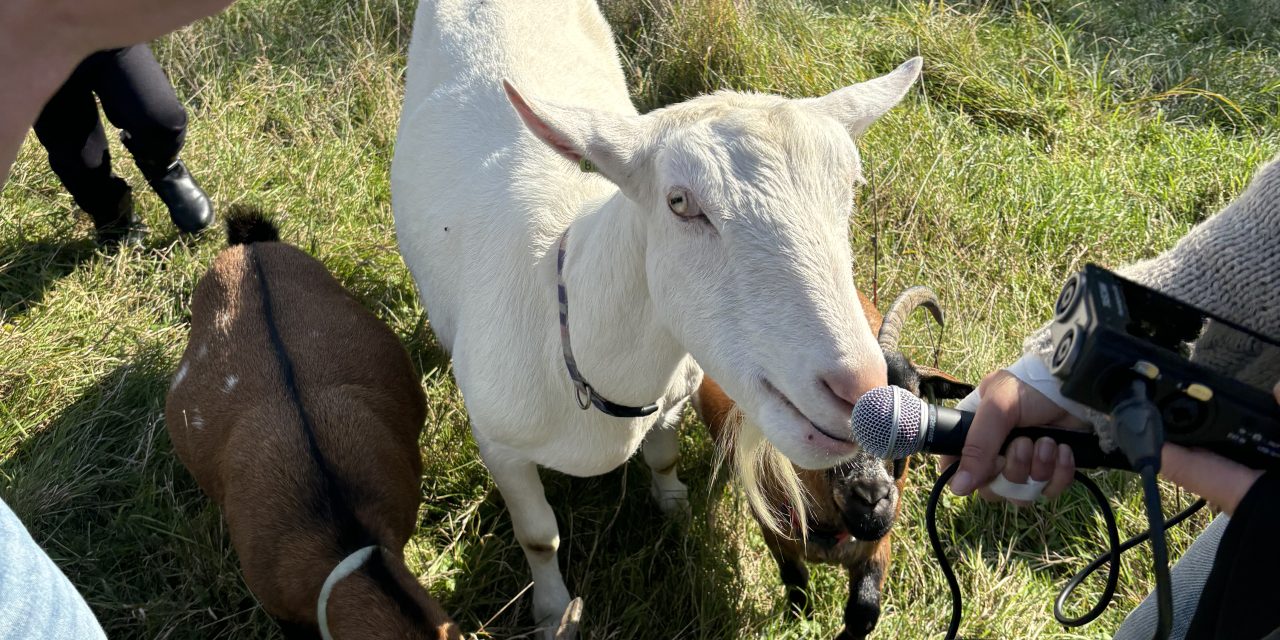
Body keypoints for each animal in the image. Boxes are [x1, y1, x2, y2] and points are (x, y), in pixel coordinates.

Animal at [391, 0, 921, 632]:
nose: (860, 392)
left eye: (851, 188)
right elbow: (539, 536)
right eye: (680, 202)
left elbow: (664, 456)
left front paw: (672, 503)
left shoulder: (673, 398)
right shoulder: (498, 444)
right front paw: (553, 612)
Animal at [701, 286, 967, 640]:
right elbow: (796, 584)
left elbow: (863, 612)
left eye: (913, 408)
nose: (871, 498)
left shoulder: (877, 544)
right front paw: (799, 621)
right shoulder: (774, 534)